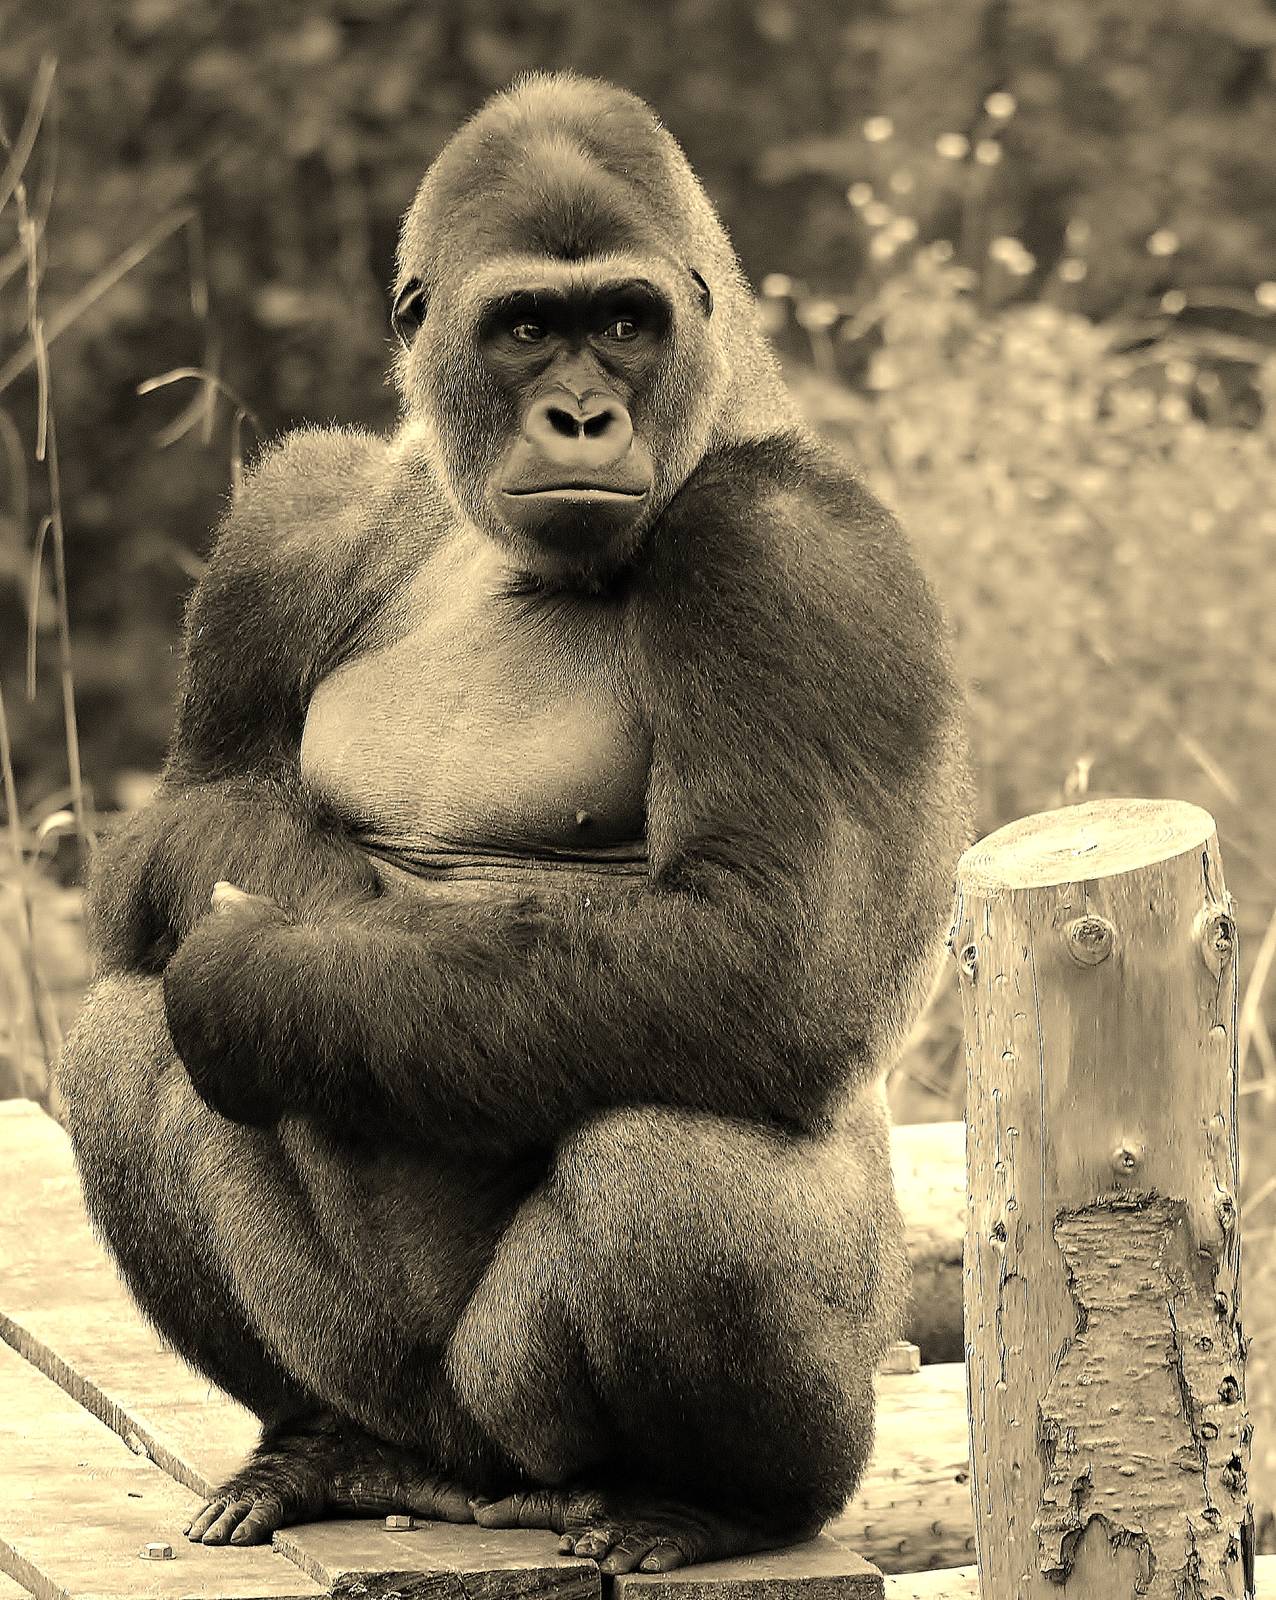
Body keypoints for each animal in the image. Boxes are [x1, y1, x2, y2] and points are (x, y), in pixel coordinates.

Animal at [56, 71, 972, 1576]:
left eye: (626, 322)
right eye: (529, 327)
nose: (586, 418)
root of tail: (475, 1481)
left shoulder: (799, 554)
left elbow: (770, 949)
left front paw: (275, 965)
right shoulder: (294, 515)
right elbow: (185, 819)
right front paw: (307, 884)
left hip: (620, 1404)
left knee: (676, 1156)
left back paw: (711, 1502)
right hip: (416, 1401)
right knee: (125, 1034)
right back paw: (321, 1445)